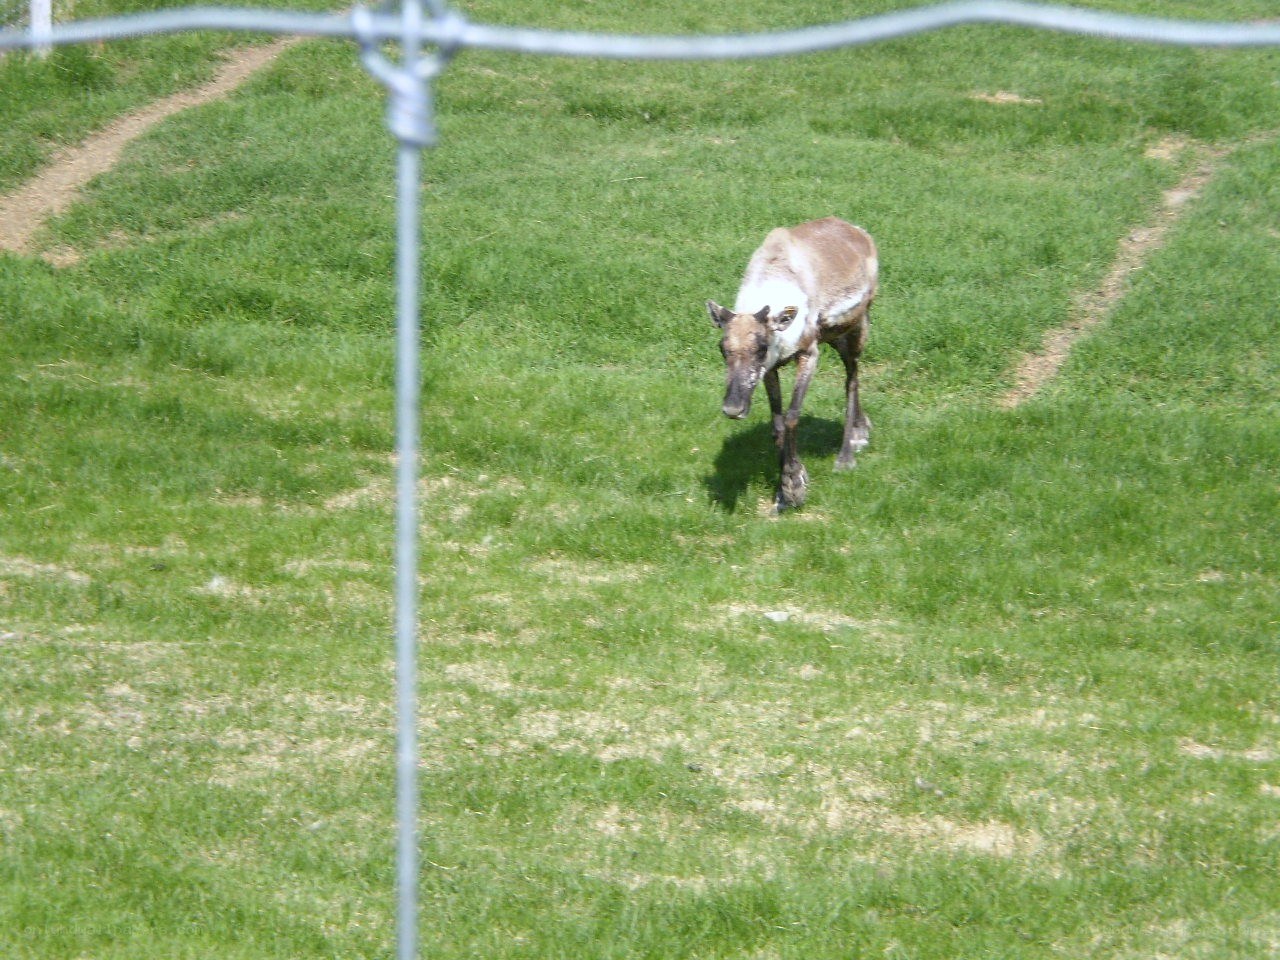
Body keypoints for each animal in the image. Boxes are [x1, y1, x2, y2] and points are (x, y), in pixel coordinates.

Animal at [707, 217, 878, 512]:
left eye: (761, 347)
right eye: (722, 348)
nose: (733, 409)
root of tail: (859, 231)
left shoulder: (809, 353)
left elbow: (792, 416)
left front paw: (794, 486)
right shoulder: (770, 369)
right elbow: (776, 423)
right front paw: (785, 488)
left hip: (858, 326)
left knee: (852, 379)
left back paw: (848, 452)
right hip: (835, 336)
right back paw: (862, 429)